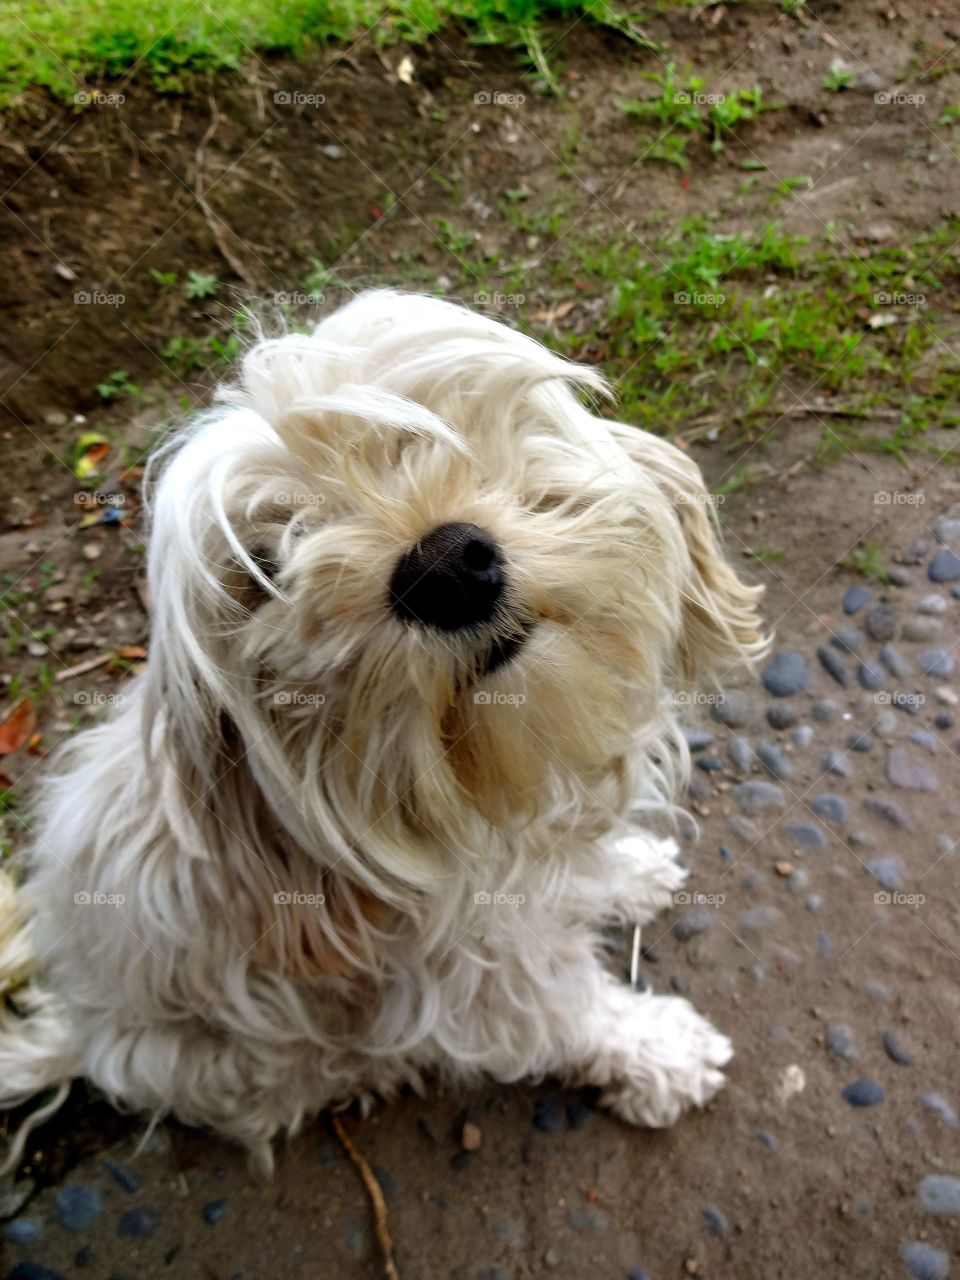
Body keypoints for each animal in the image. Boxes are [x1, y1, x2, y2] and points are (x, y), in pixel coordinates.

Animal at [0, 288, 768, 1172]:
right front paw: (658, 1053)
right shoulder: (473, 977)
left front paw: (625, 871)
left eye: (420, 437)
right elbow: (571, 1016)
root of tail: (78, 1029)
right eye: (267, 565)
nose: (445, 568)